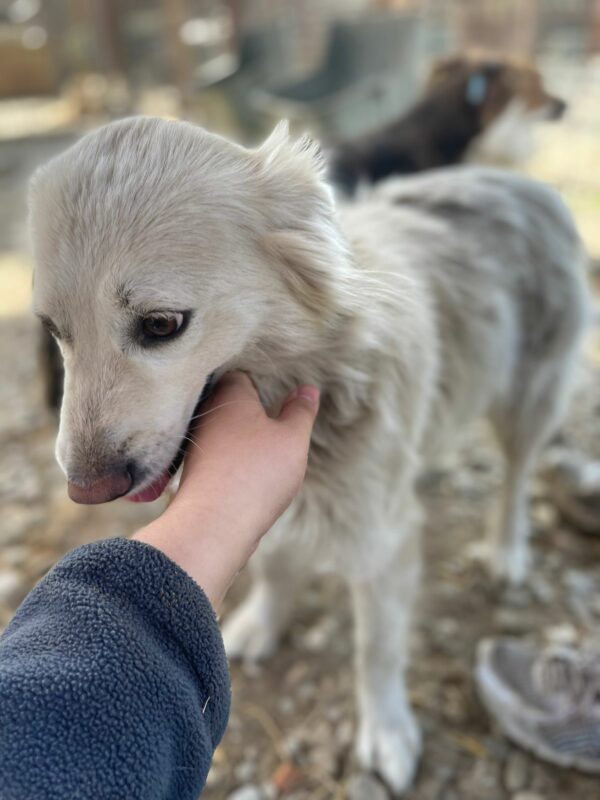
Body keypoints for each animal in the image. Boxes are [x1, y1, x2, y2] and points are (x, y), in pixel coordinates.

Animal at [29, 117, 592, 792]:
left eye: (162, 324)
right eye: (54, 330)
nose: (86, 490)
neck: (316, 367)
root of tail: (514, 179)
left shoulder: (383, 539)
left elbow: (377, 646)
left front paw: (387, 729)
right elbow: (274, 563)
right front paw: (259, 623)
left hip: (529, 399)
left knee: (517, 475)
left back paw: (507, 548)